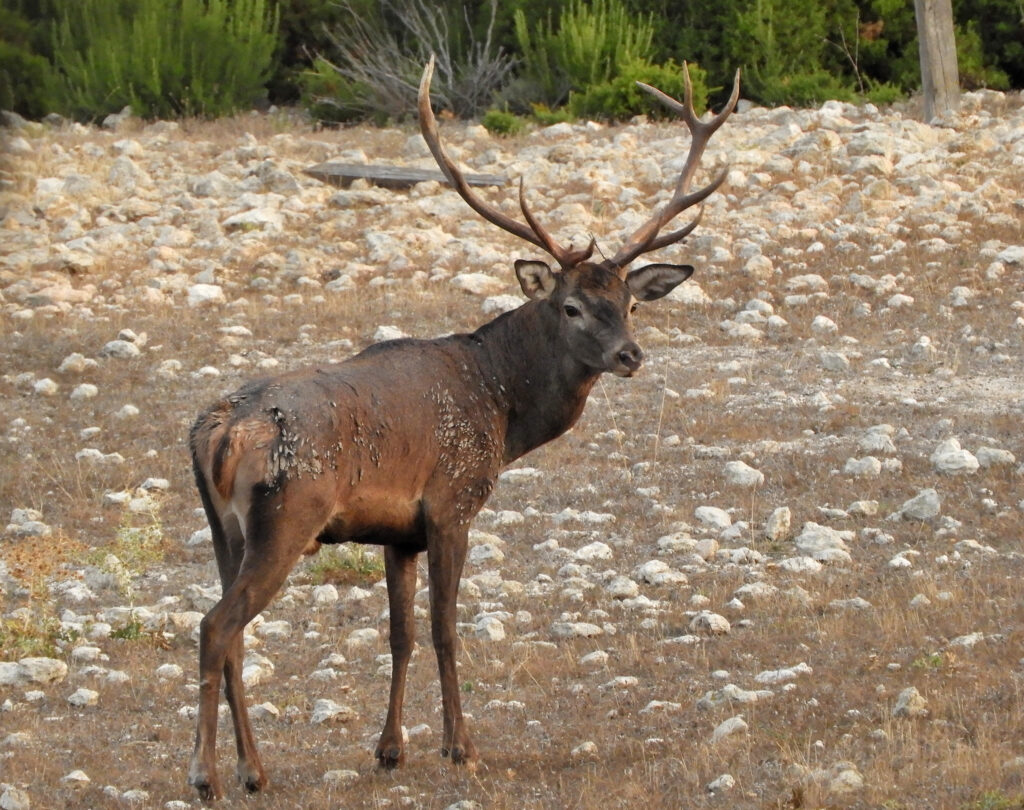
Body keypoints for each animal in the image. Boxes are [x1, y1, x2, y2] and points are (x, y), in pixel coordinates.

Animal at [186, 56, 739, 800]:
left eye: (628, 303)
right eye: (570, 306)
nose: (630, 355)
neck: (502, 410)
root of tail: (219, 428)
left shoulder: (397, 533)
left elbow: (400, 635)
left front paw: (390, 749)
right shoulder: (453, 502)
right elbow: (447, 630)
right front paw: (461, 747)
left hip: (225, 529)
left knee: (233, 631)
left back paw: (254, 768)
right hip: (287, 515)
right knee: (216, 626)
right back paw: (208, 774)